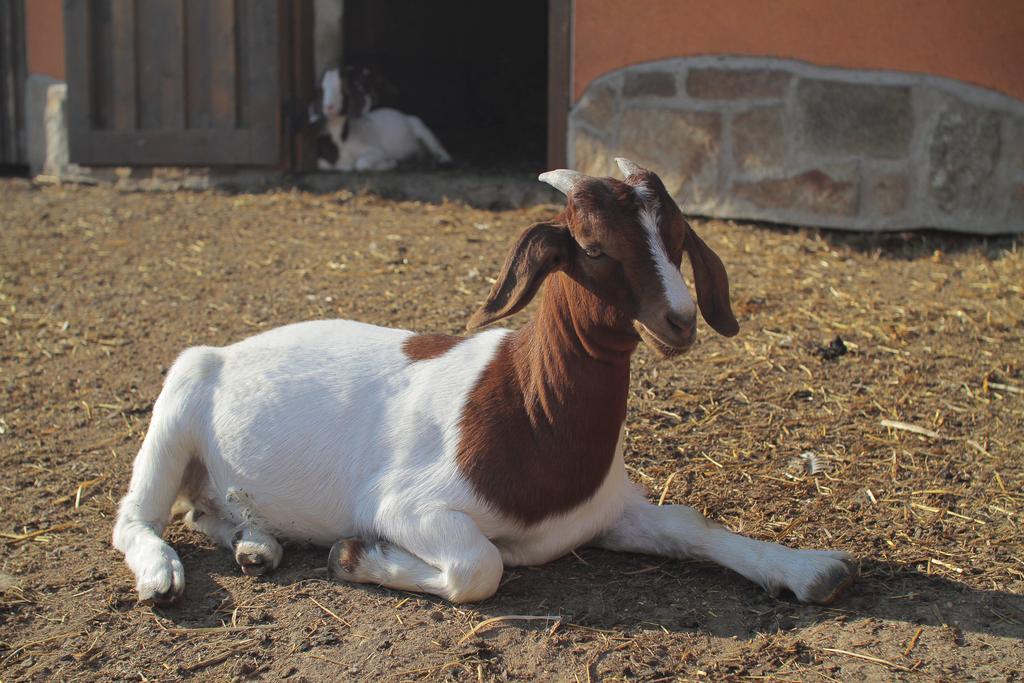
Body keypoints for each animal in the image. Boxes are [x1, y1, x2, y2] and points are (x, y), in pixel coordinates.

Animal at [112, 158, 856, 602]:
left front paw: (810, 568)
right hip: (176, 404)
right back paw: (162, 574)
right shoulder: (408, 504)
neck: (530, 408)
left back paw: (256, 544)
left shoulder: (605, 508)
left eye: (677, 238)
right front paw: (355, 556)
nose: (678, 320)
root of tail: (229, 349)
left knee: (206, 510)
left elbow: (688, 524)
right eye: (592, 247)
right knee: (136, 515)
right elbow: (480, 567)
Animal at [313, 66, 450, 172]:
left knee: (439, 148)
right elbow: (324, 165)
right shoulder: (322, 160)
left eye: (344, 88)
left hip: (422, 128)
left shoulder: (377, 151)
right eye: (322, 89)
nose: (328, 107)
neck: (341, 141)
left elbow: (361, 164)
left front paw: (389, 164)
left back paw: (443, 160)